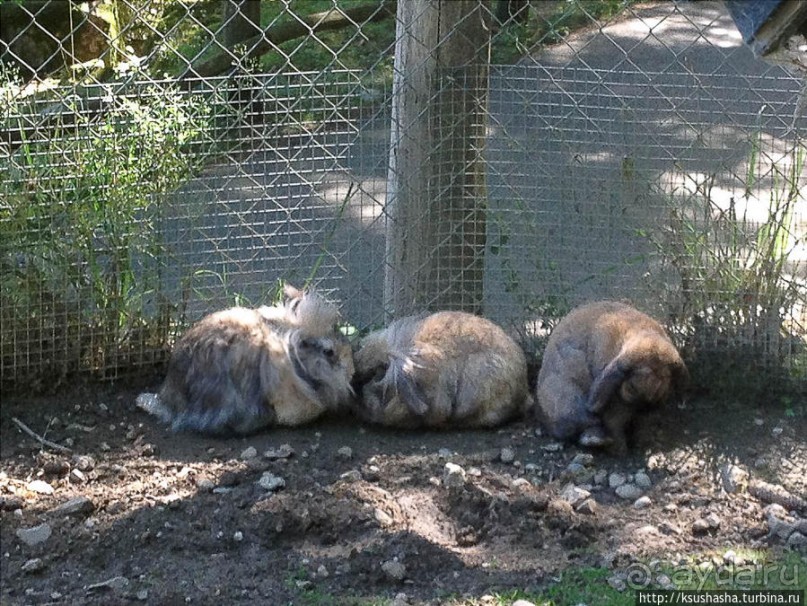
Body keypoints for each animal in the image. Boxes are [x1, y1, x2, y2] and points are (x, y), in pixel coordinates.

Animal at [536, 302, 688, 458]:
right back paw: (597, 440)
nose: (642, 388)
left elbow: (644, 424)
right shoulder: (615, 405)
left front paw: (644, 447)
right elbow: (614, 422)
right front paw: (620, 452)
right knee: (583, 419)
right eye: (633, 372)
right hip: (567, 395)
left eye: (665, 375)